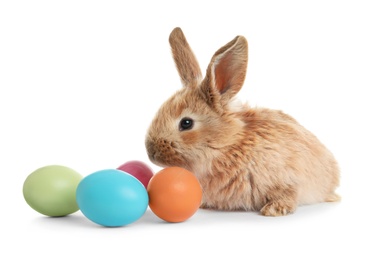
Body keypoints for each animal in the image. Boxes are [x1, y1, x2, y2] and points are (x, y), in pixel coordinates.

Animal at [145, 27, 340, 216]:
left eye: (186, 123)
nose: (151, 152)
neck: (227, 146)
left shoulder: (289, 177)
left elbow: (289, 193)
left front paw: (274, 210)